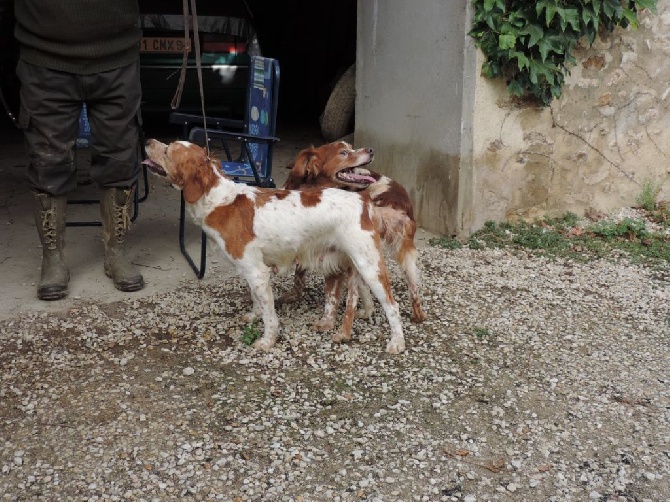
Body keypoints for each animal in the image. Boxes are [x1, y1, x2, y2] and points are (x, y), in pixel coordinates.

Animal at [144, 138, 406, 352]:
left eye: (167, 150)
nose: (147, 140)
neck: (219, 200)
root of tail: (363, 201)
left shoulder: (257, 272)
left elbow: (269, 315)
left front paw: (267, 341)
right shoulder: (251, 270)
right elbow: (256, 300)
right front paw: (253, 315)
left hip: (369, 266)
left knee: (392, 305)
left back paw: (397, 343)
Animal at [282, 141, 428, 330]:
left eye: (350, 148)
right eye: (344, 152)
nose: (371, 150)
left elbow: (330, 293)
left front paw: (327, 322)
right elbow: (299, 275)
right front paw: (294, 295)